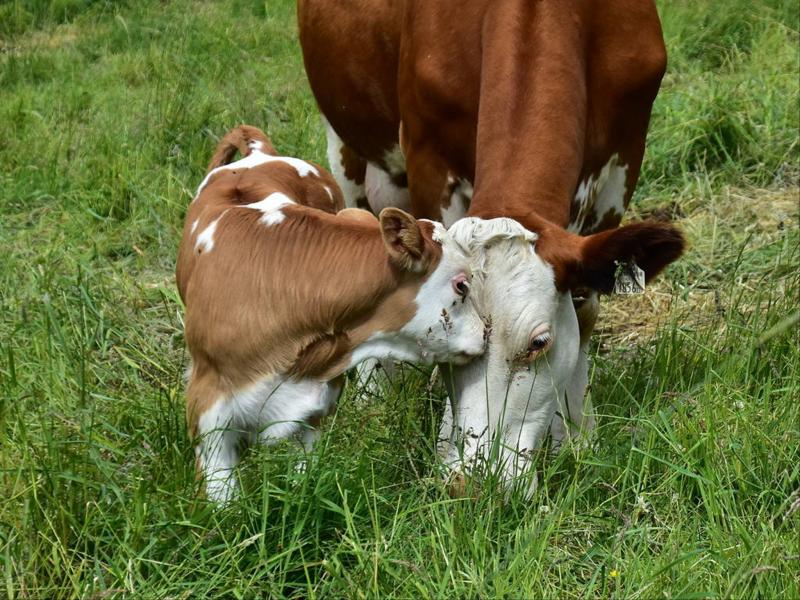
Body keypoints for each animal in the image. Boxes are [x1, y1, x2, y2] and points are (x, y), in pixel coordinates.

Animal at [177, 124, 488, 504]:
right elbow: (225, 503)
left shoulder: (315, 410)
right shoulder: (208, 415)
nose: (486, 332)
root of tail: (260, 153)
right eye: (462, 285)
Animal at [296, 0, 684, 494]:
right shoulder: (427, 159)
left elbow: (585, 309)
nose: (470, 483)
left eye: (539, 342)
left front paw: (578, 437)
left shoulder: (621, 163)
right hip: (345, 144)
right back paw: (373, 393)